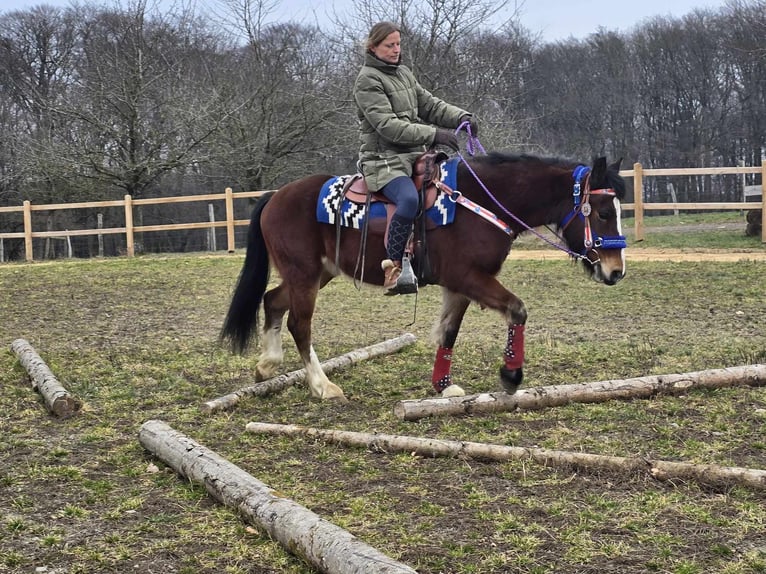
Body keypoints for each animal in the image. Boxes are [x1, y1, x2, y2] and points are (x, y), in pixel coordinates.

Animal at [222, 148, 632, 400]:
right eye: (602, 212)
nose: (616, 272)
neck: (477, 202)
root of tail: (276, 196)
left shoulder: (460, 285)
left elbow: (449, 331)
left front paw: (443, 386)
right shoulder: (469, 276)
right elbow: (517, 310)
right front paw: (510, 375)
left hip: (315, 273)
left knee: (272, 301)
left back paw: (267, 365)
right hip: (304, 275)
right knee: (300, 324)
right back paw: (323, 386)